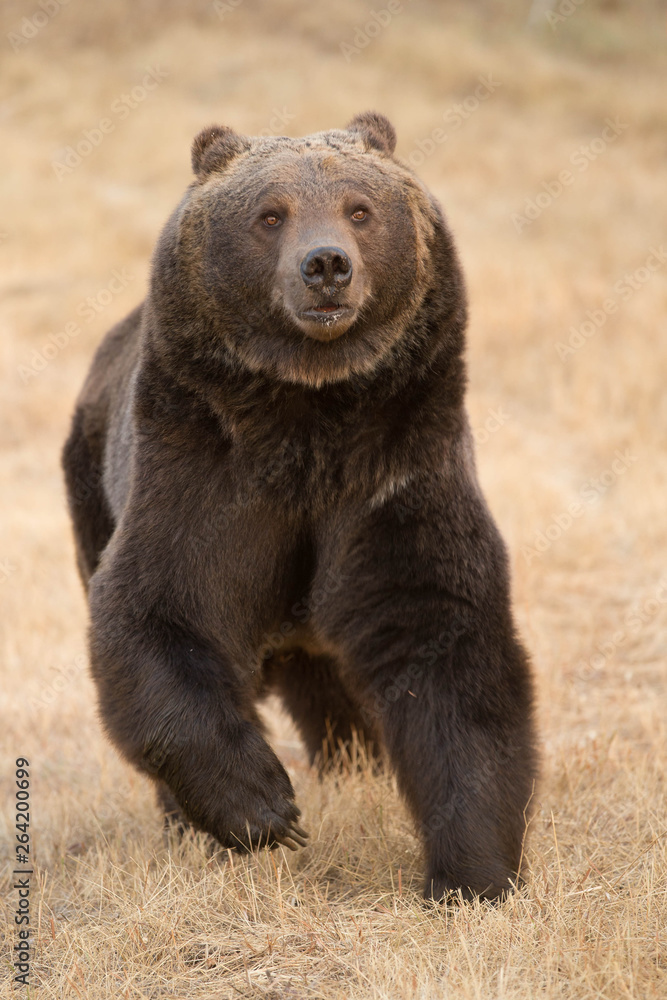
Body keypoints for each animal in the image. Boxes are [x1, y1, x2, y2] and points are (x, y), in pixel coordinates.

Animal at [62, 111, 537, 903]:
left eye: (359, 208)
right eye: (270, 213)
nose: (326, 266)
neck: (310, 408)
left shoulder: (395, 473)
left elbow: (449, 645)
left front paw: (473, 874)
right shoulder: (201, 468)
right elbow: (158, 608)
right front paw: (262, 808)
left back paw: (355, 765)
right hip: (90, 483)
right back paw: (190, 824)